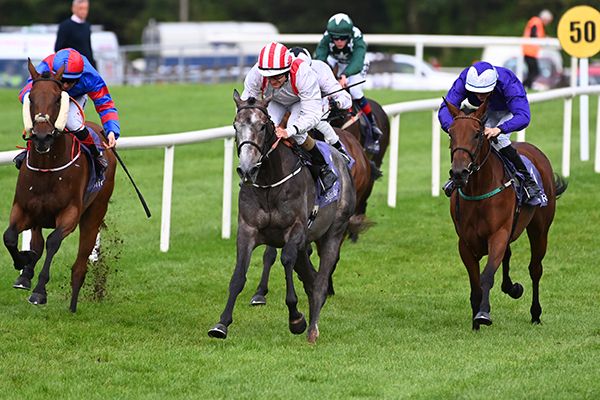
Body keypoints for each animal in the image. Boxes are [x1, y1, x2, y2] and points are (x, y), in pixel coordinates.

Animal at [2, 58, 116, 312]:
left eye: (57, 99)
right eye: (31, 98)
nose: (42, 137)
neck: (47, 168)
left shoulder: (70, 214)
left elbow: (53, 241)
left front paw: (39, 292)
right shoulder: (23, 208)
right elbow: (10, 237)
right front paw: (24, 263)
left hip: (94, 213)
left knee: (80, 264)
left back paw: (73, 304)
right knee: (36, 242)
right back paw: (26, 272)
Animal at [209, 90, 356, 344]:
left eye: (261, 126)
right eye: (236, 126)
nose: (246, 170)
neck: (269, 182)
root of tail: (340, 158)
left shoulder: (295, 229)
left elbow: (286, 260)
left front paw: (296, 318)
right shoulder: (247, 229)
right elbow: (238, 275)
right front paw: (221, 324)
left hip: (333, 232)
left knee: (319, 279)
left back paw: (312, 328)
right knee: (310, 277)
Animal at [446, 98, 568, 330]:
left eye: (477, 134)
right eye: (451, 133)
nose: (458, 173)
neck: (478, 190)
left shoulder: (498, 235)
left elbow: (486, 276)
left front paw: (483, 314)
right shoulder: (465, 243)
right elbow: (475, 284)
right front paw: (475, 323)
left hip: (540, 229)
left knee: (535, 268)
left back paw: (535, 314)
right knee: (509, 256)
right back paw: (512, 288)